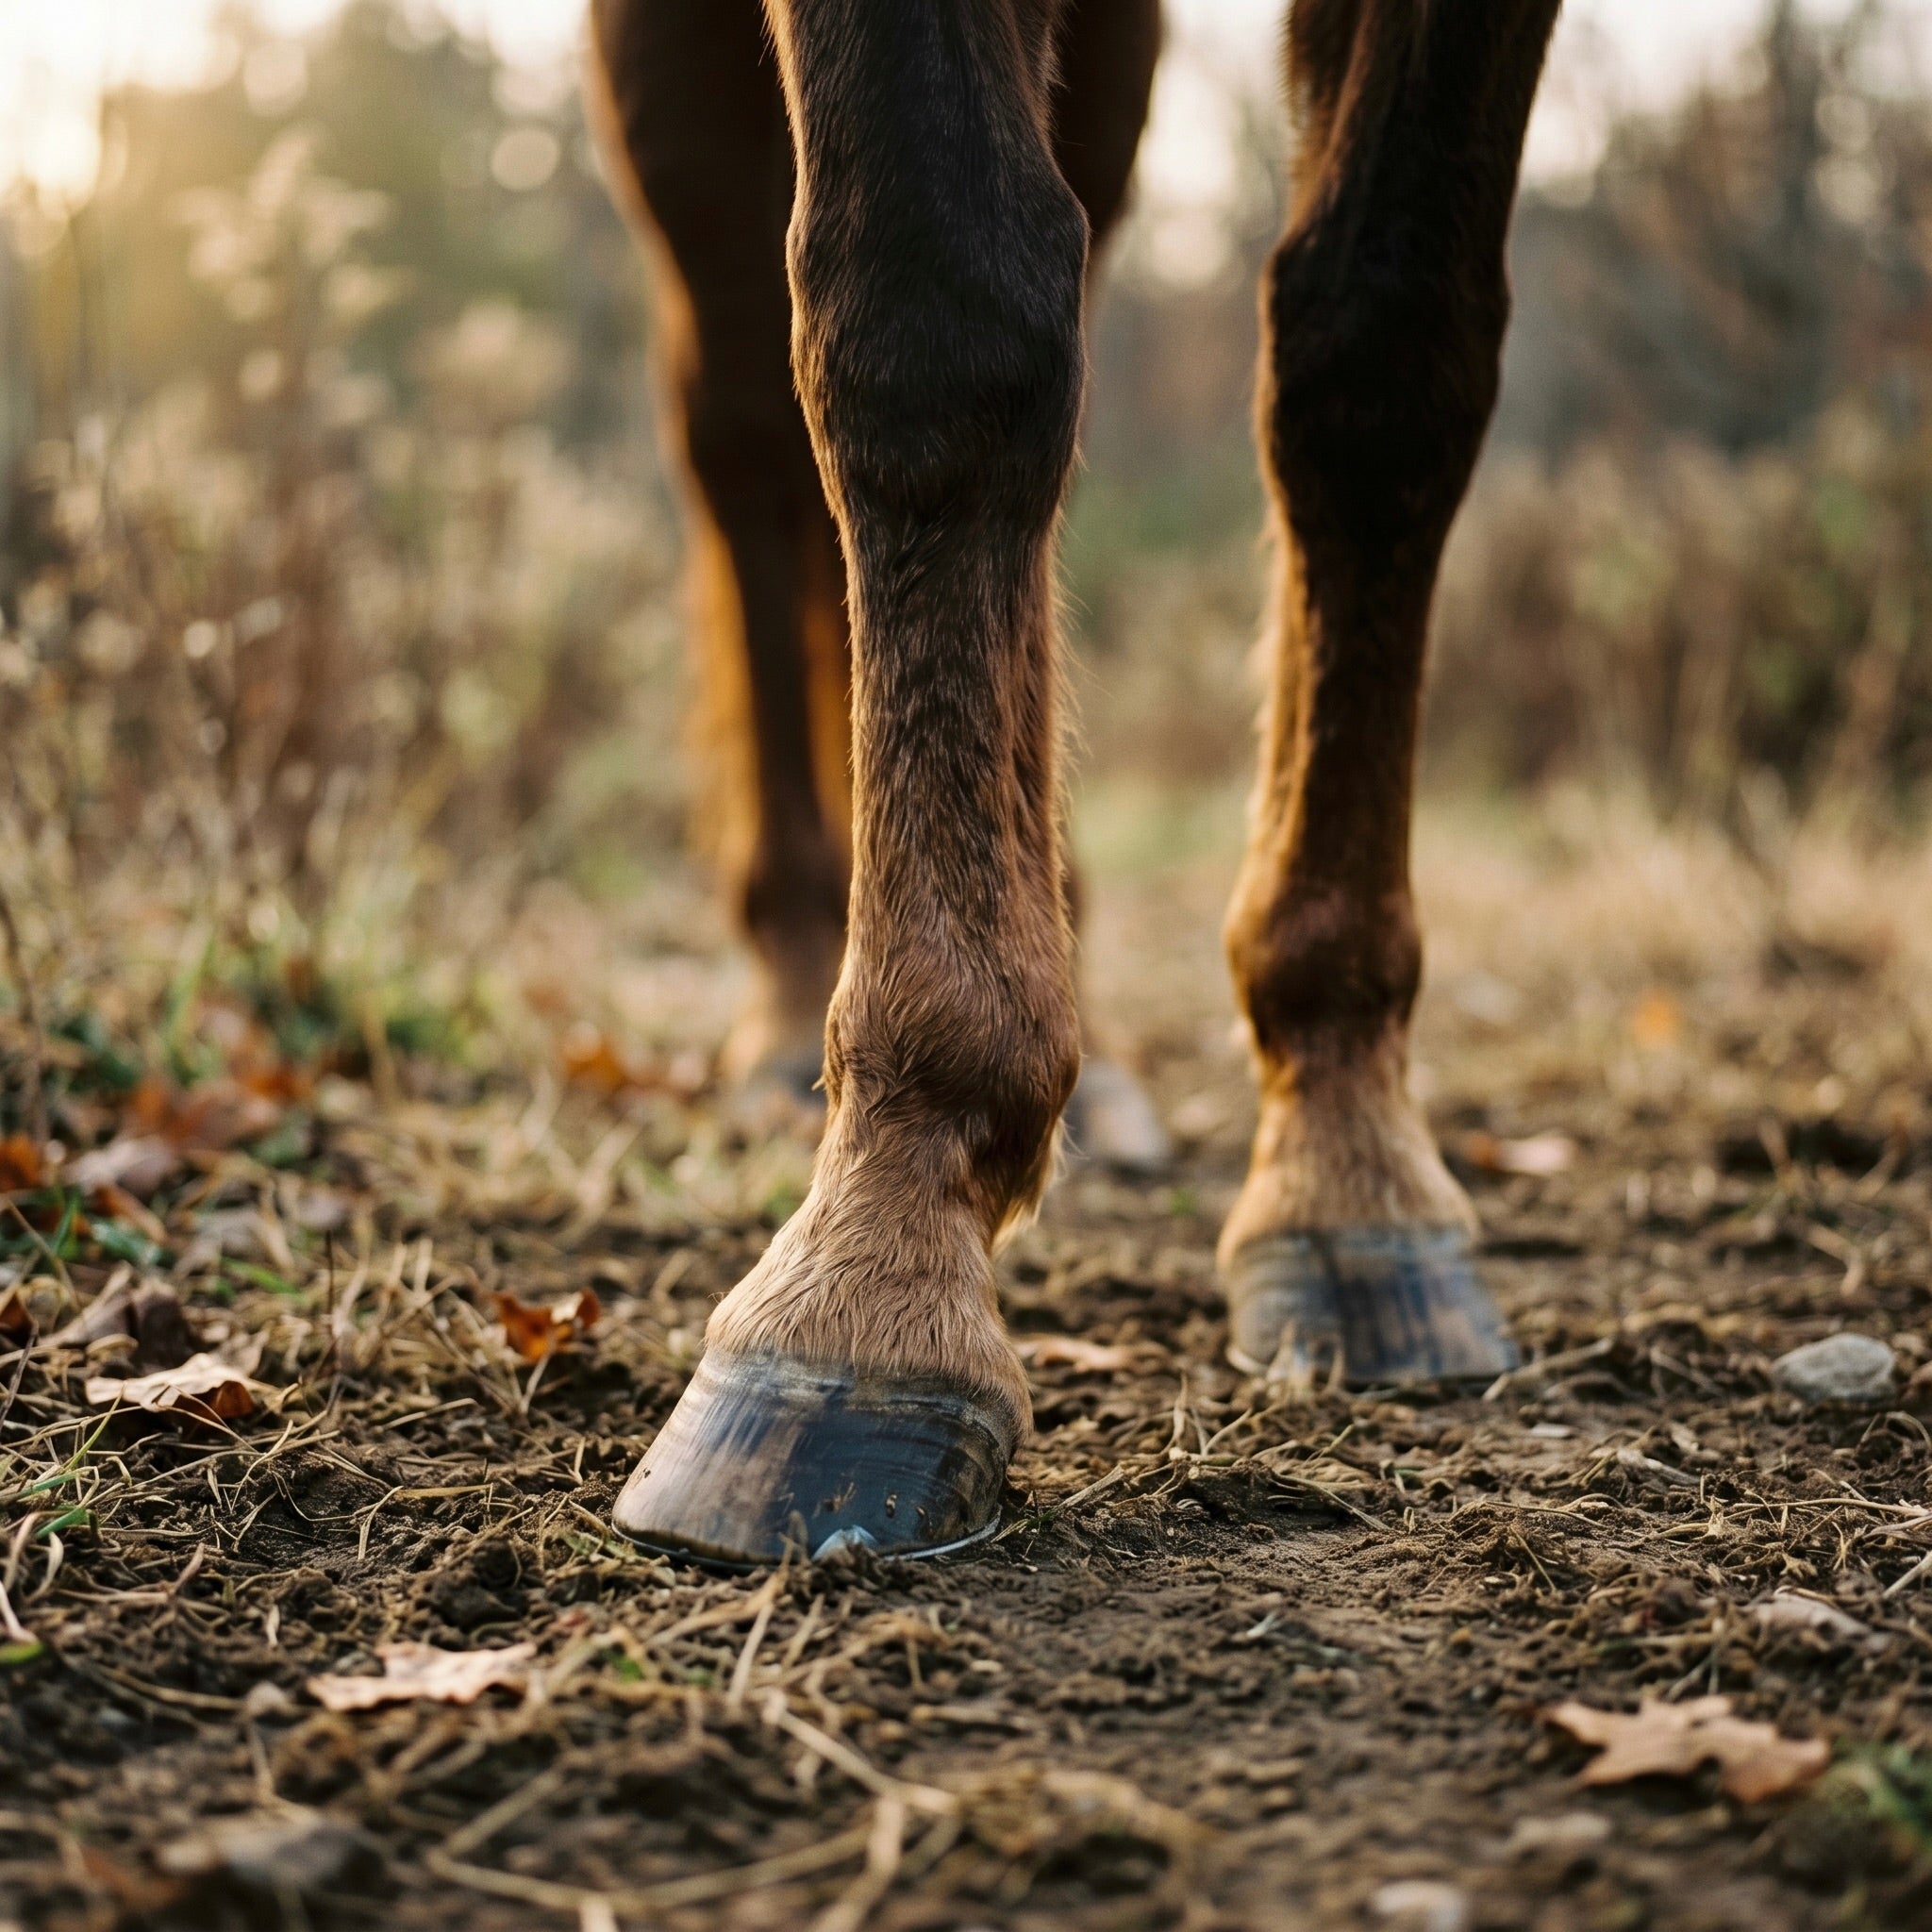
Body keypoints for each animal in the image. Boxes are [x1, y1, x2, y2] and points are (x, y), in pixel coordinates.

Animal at [586, 0, 1561, 1566]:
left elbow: (1384, 355)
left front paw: (1346, 1160)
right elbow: (936, 324)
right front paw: (876, 1269)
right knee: (734, 427)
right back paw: (795, 983)